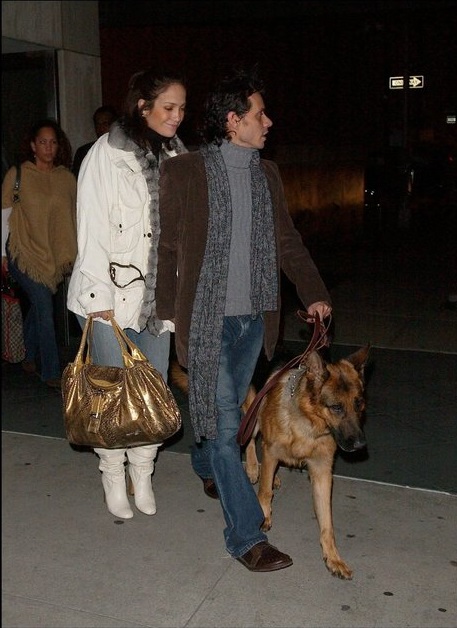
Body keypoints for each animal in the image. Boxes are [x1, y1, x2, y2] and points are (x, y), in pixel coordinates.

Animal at [169, 346, 368, 580]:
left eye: (359, 403)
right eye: (336, 407)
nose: (360, 444)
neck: (309, 422)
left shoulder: (322, 473)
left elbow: (327, 522)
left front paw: (333, 558)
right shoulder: (271, 452)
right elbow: (264, 491)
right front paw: (263, 516)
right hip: (251, 415)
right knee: (249, 441)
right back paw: (253, 468)